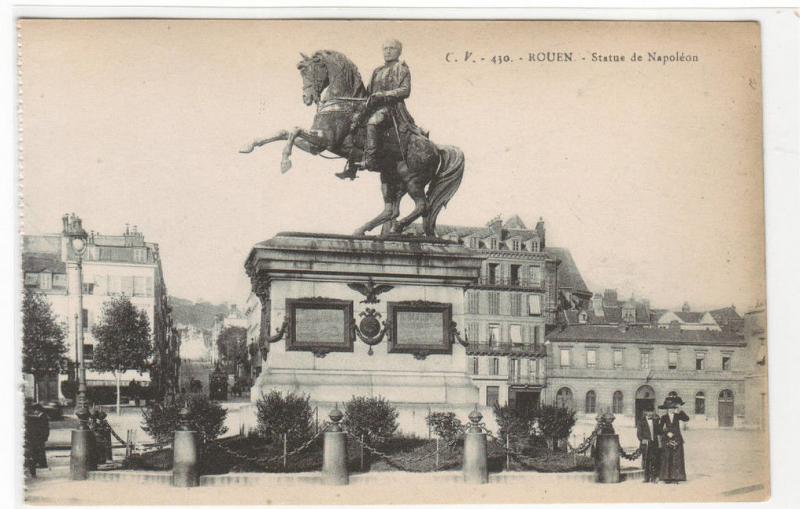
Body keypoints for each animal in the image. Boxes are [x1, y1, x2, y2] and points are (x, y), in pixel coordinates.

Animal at [239, 49, 462, 236]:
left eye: (310, 70)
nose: (307, 98)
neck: (341, 101)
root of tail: (436, 148)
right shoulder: (316, 145)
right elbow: (285, 131)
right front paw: (249, 145)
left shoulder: (325, 140)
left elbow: (294, 130)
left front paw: (285, 162)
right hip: (389, 178)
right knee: (391, 210)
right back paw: (363, 229)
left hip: (412, 179)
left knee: (421, 206)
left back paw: (396, 228)